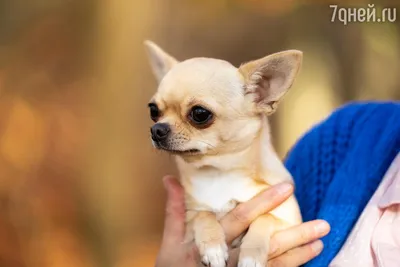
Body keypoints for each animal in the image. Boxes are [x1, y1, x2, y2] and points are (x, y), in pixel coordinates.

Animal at [145, 40, 302, 267]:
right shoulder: (189, 220)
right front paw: (213, 247)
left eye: (200, 114)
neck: (218, 173)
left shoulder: (290, 220)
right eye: (153, 110)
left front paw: (251, 255)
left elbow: (266, 218)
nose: (157, 129)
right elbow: (203, 215)